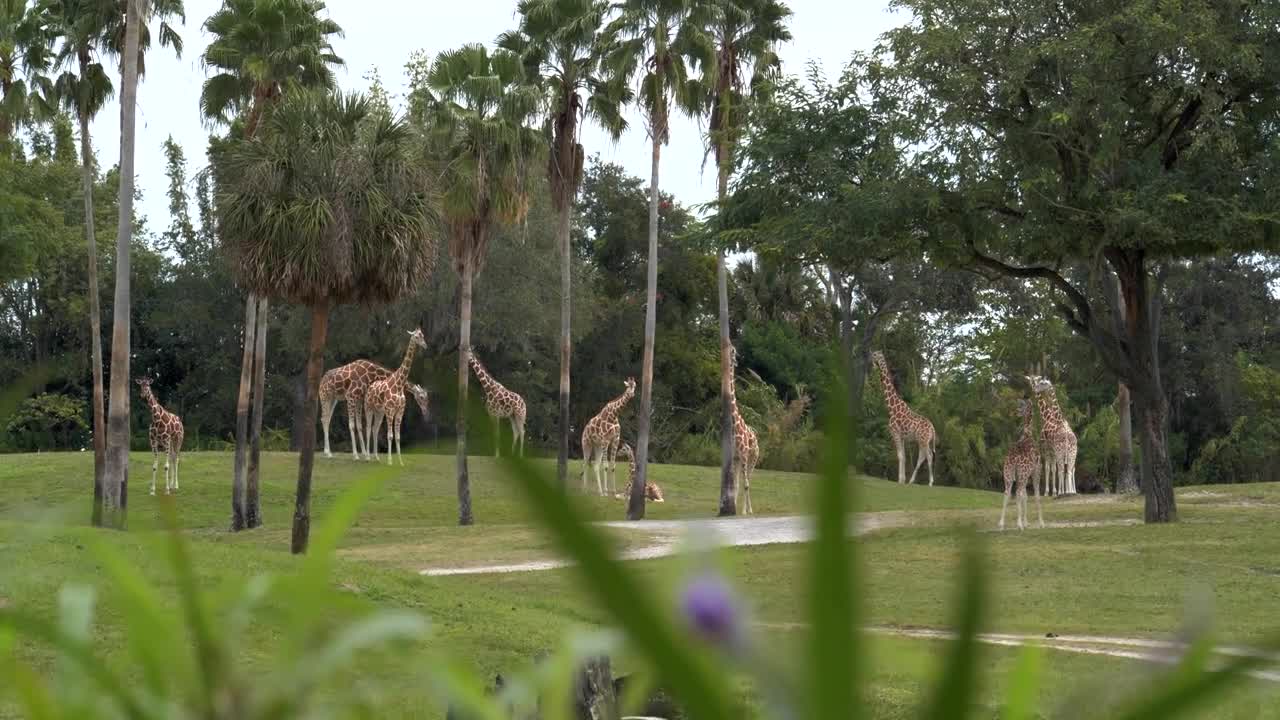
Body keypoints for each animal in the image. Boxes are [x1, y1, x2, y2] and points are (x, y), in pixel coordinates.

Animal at [366, 327, 430, 461]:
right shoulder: (390, 410)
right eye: (416, 337)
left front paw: (400, 462)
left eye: (423, 335)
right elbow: (390, 435)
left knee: (375, 429)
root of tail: (371, 386)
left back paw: (376, 457)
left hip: (379, 411)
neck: (399, 385)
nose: (425, 345)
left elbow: (398, 436)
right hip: (369, 407)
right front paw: (390, 461)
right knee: (368, 428)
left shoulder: (400, 411)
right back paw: (368, 457)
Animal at [865, 351, 936, 484]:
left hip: (923, 440)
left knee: (928, 456)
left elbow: (900, 456)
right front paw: (902, 480)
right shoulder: (902, 436)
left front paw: (900, 480)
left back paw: (930, 482)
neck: (891, 408)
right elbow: (903, 456)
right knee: (923, 456)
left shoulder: (895, 433)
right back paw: (912, 481)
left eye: (875, 354)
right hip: (922, 440)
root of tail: (933, 430)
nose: (869, 357)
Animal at [993, 397, 1044, 527]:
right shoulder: (1036, 470)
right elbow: (1036, 495)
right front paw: (1041, 523)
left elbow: (1025, 496)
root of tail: (1013, 458)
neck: (1028, 434)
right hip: (1023, 473)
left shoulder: (1023, 474)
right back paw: (1018, 524)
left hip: (1008, 473)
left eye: (1023, 405)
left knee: (1007, 493)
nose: (1017, 411)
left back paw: (1001, 523)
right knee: (1018, 492)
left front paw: (1026, 522)